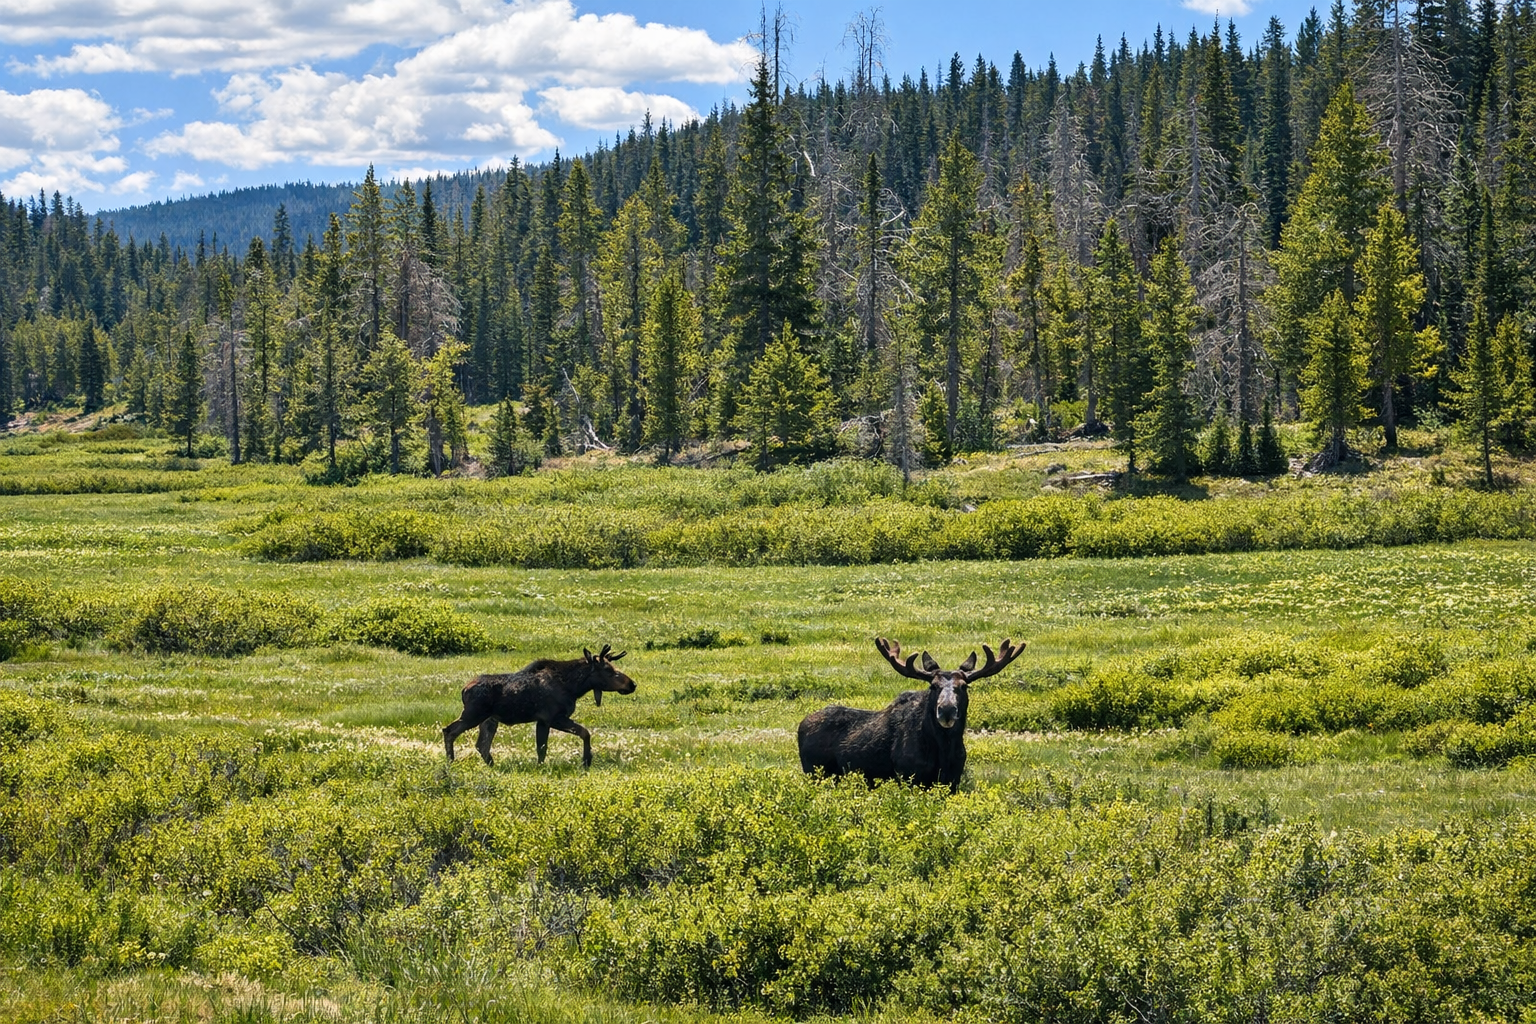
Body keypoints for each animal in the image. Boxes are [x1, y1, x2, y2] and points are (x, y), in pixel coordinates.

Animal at [443, 644, 635, 768]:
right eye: (608, 670)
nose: (632, 684)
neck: (574, 688)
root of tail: (463, 690)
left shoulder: (544, 720)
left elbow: (543, 748)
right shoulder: (552, 718)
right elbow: (581, 734)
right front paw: (586, 761)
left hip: (489, 719)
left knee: (482, 744)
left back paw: (492, 766)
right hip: (473, 714)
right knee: (449, 731)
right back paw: (450, 762)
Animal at [797, 637, 1026, 792]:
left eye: (964, 686)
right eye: (933, 686)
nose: (947, 710)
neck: (943, 748)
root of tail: (800, 726)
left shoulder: (953, 780)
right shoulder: (909, 776)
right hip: (815, 773)